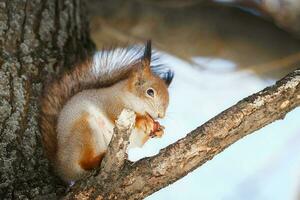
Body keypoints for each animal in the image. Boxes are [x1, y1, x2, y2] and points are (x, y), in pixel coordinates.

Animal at [41, 40, 175, 181]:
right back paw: (97, 159)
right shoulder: (110, 103)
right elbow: (115, 113)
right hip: (85, 130)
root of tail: (61, 168)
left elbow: (140, 140)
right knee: (84, 163)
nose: (161, 115)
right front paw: (142, 121)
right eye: (150, 92)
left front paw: (159, 130)